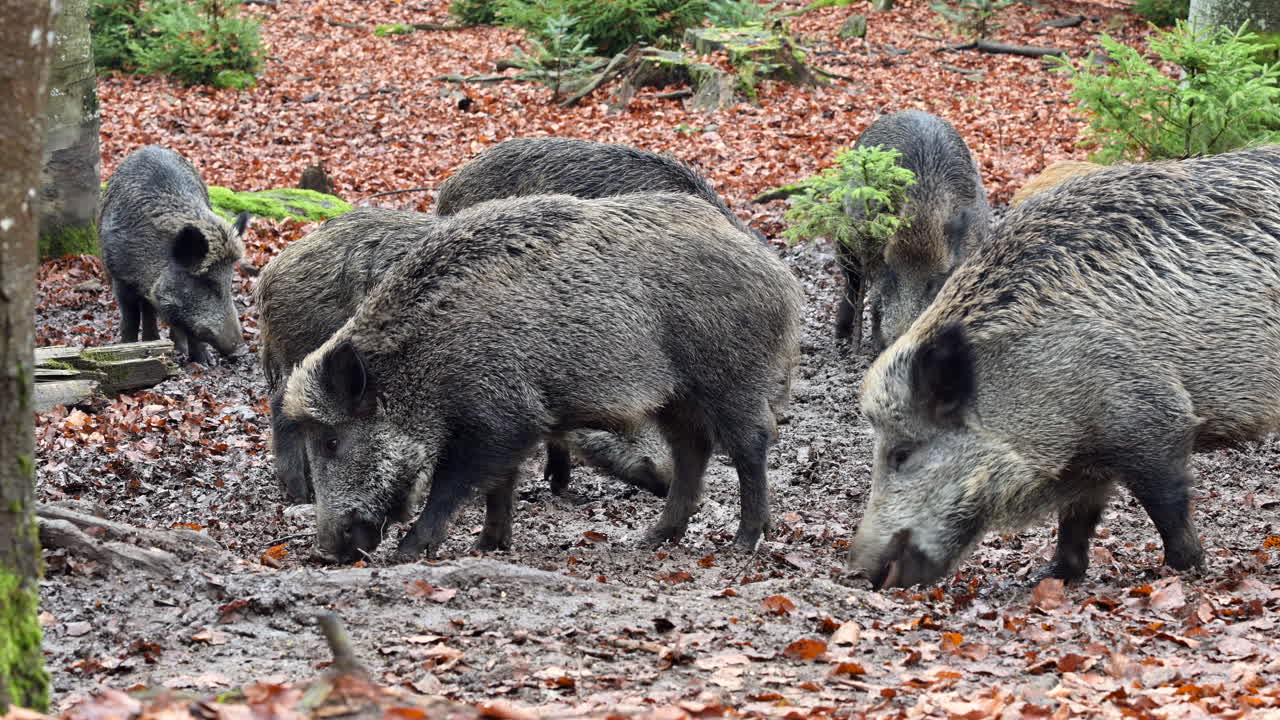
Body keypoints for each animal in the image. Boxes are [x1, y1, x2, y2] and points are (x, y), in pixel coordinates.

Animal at [98, 145, 249, 364]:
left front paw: (205, 363)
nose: (241, 350)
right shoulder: (119, 277)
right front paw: (127, 348)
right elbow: (130, 319)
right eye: (206, 282)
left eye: (230, 282)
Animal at [257, 208, 673, 504]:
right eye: (619, 419)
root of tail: (271, 270)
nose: (668, 481)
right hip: (309, 347)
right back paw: (301, 494)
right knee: (283, 404)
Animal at [834, 110, 991, 354]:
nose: (899, 341)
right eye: (892, 273)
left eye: (934, 282)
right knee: (852, 282)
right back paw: (842, 335)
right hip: (843, 235)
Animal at [849, 146, 1280, 588]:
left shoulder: (1151, 416)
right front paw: (1052, 577)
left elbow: (1165, 500)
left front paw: (1187, 567)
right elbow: (1076, 519)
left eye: (902, 453)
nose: (859, 570)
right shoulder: (1086, 458)